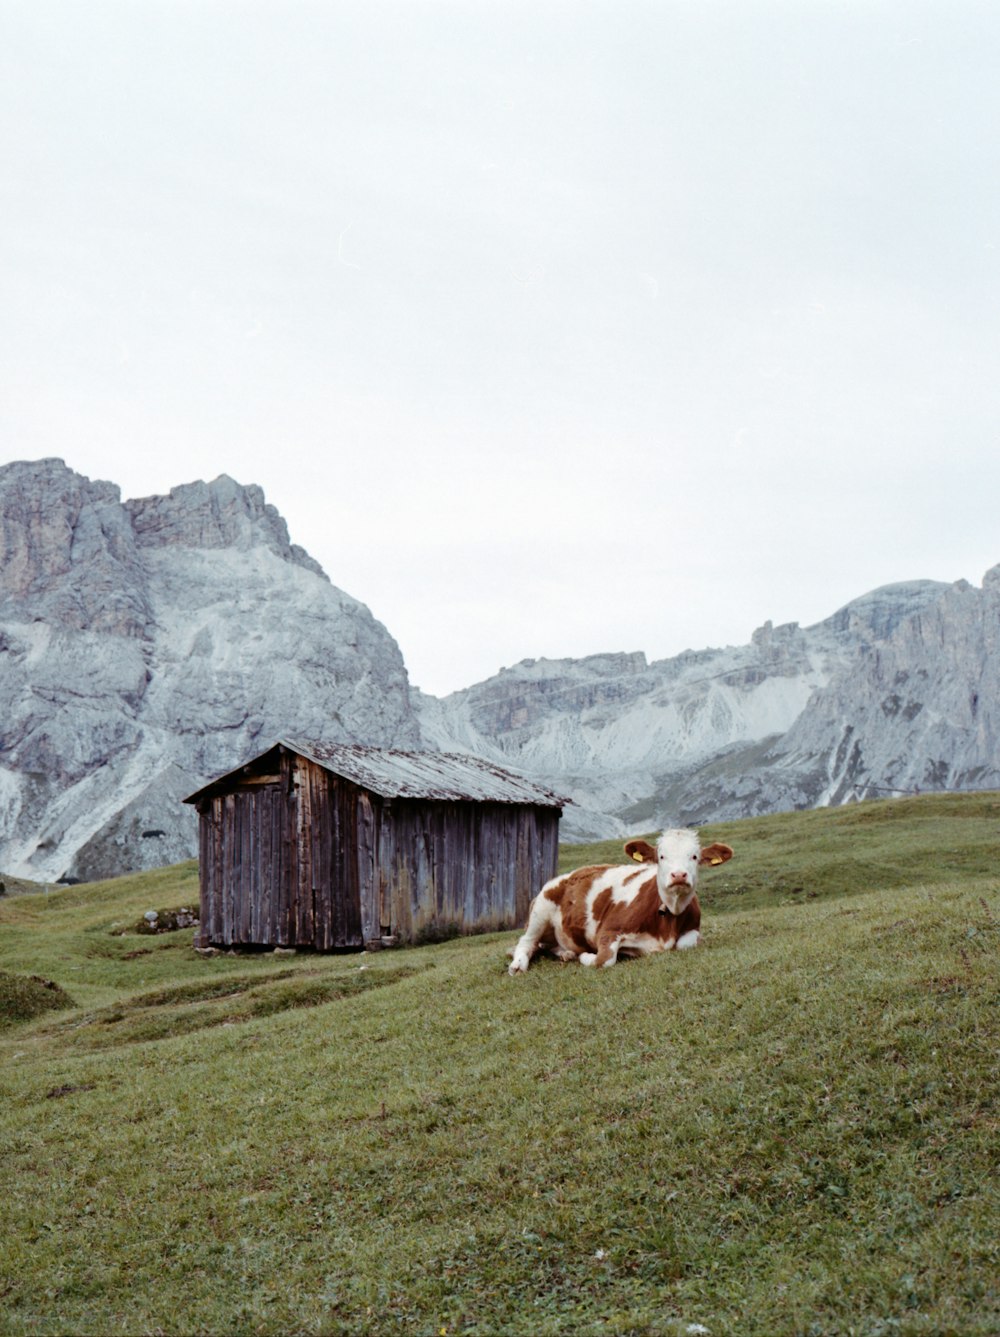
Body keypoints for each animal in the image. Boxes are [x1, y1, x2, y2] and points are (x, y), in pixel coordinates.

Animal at [508, 823, 732, 973]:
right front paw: (587, 956)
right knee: (526, 942)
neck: (668, 917)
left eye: (694, 856)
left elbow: (686, 944)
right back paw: (518, 965)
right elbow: (604, 960)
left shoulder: (693, 928)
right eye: (661, 856)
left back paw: (566, 953)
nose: (678, 875)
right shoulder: (608, 931)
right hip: (540, 911)